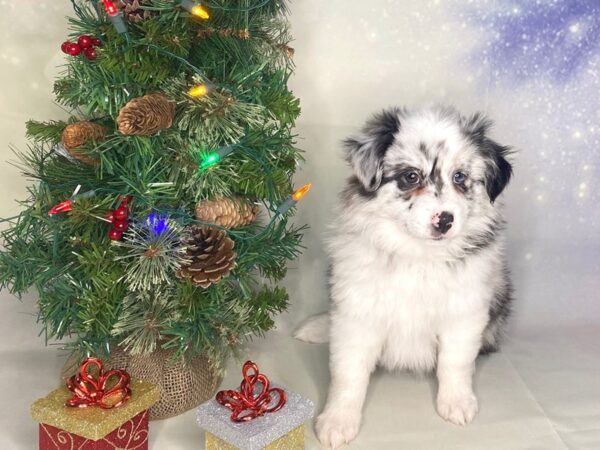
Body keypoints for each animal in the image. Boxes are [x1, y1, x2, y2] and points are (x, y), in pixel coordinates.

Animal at [296, 106, 510, 450]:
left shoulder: (464, 312)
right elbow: (348, 372)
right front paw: (338, 420)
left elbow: (455, 362)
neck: (418, 255)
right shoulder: (357, 310)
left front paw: (457, 402)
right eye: (411, 176)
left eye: (460, 177)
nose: (444, 221)